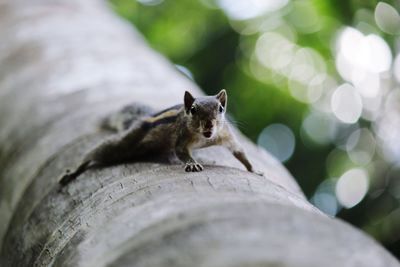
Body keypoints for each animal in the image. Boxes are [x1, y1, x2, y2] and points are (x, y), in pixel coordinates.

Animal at [58, 90, 260, 186]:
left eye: (220, 108)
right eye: (193, 110)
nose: (209, 124)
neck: (205, 138)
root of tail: (139, 120)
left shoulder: (226, 134)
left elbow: (239, 151)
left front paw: (254, 169)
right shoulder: (181, 137)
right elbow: (181, 151)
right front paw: (192, 163)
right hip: (126, 142)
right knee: (98, 151)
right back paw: (75, 170)